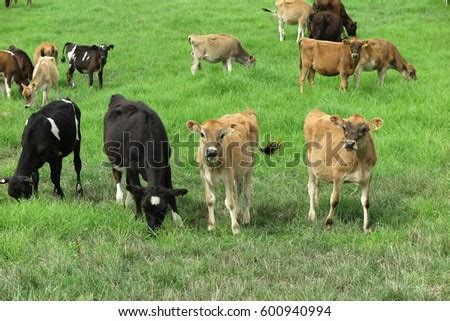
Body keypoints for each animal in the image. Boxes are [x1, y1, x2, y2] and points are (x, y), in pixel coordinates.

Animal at [103, 93, 188, 230]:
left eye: (163, 210)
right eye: (145, 208)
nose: (153, 228)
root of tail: (119, 98)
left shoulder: (166, 166)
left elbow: (171, 193)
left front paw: (179, 222)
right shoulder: (132, 166)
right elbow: (138, 192)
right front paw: (138, 216)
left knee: (129, 184)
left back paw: (128, 201)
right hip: (114, 157)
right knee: (117, 176)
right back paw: (120, 199)